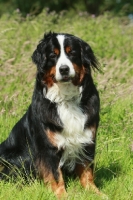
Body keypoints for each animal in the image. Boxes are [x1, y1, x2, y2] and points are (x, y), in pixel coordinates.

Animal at [0, 32, 101, 198]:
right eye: (53, 55)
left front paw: (95, 193)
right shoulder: (47, 147)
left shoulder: (87, 139)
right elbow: (55, 175)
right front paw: (63, 196)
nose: (64, 69)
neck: (66, 99)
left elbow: (87, 171)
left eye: (72, 53)